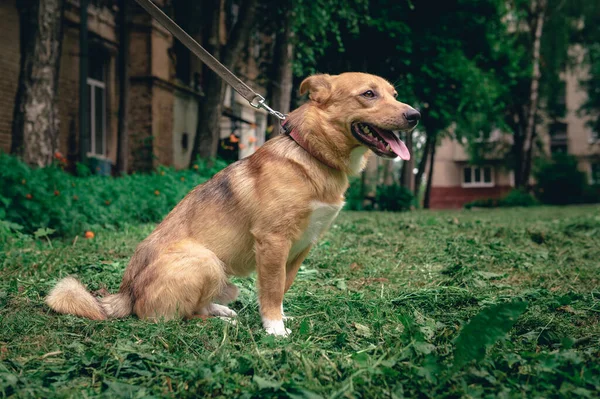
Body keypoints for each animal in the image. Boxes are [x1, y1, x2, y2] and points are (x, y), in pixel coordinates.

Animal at [47, 72, 420, 338]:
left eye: (394, 95)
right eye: (368, 94)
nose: (415, 115)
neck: (311, 154)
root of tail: (126, 293)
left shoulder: (299, 248)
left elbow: (280, 288)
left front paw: (277, 318)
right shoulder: (273, 242)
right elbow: (272, 289)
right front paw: (274, 329)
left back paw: (221, 311)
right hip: (205, 260)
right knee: (170, 319)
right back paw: (219, 322)